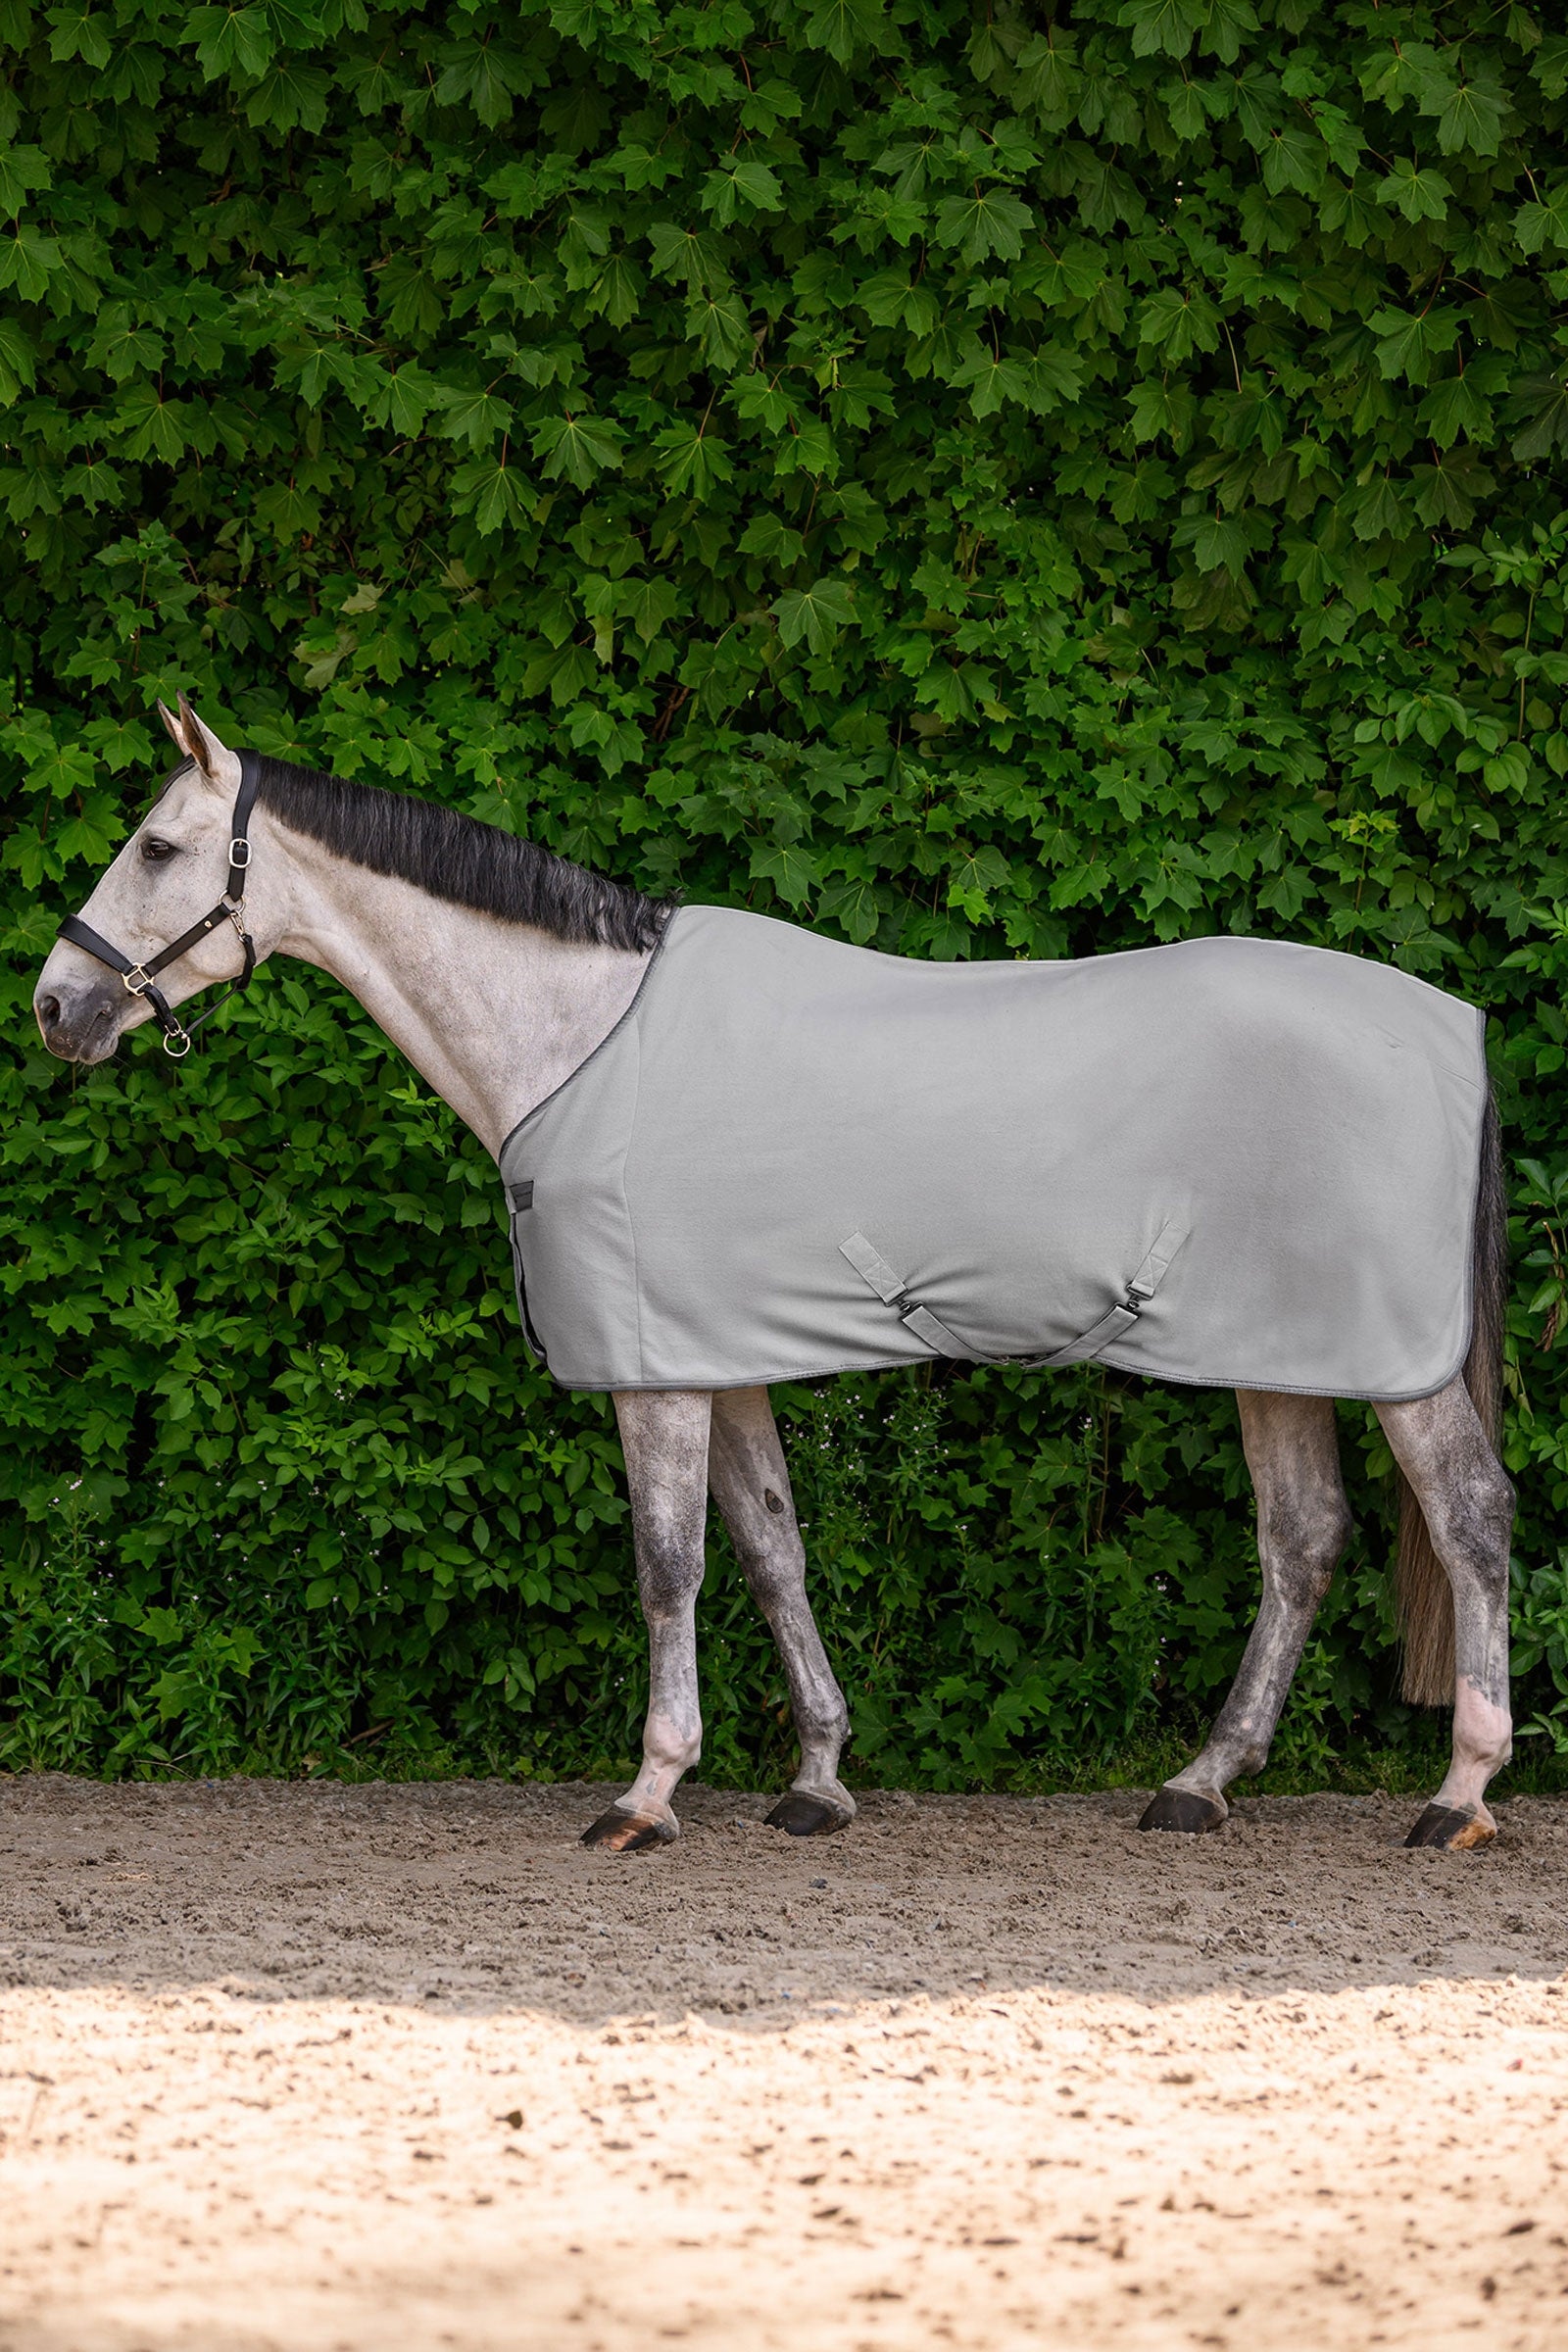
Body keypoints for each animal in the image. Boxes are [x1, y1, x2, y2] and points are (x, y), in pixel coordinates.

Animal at [32, 696, 1515, 1854]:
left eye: (157, 846)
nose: (57, 1005)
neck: (581, 1038)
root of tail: (1454, 1027)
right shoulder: (717, 1355)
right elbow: (770, 1549)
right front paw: (816, 1778)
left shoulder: (655, 1373)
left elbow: (668, 1565)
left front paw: (647, 1793)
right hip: (1280, 1355)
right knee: (1304, 1540)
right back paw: (1201, 1784)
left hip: (1396, 1365)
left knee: (1471, 1515)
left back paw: (1458, 1794)